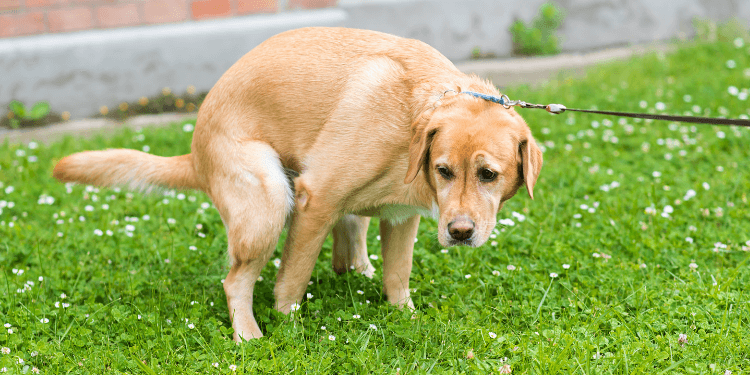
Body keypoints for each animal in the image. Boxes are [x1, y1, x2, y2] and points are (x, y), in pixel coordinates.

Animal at [54, 27, 548, 344]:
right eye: (444, 170)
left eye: (488, 174)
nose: (459, 233)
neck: (413, 119)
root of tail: (195, 153)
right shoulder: (317, 199)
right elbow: (291, 281)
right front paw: (288, 325)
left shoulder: (401, 217)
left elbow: (397, 275)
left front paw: (402, 314)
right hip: (269, 200)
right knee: (235, 282)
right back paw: (249, 335)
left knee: (349, 248)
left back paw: (357, 271)